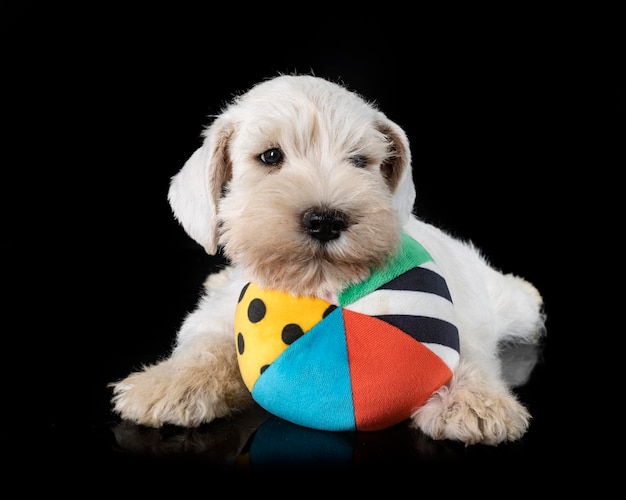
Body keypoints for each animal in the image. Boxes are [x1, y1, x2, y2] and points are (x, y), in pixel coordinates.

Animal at [109, 73, 544, 446]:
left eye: (359, 161)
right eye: (270, 156)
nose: (325, 221)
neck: (321, 284)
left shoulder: (460, 319)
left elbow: (468, 349)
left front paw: (472, 398)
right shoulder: (214, 316)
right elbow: (203, 344)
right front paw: (170, 382)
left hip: (505, 302)